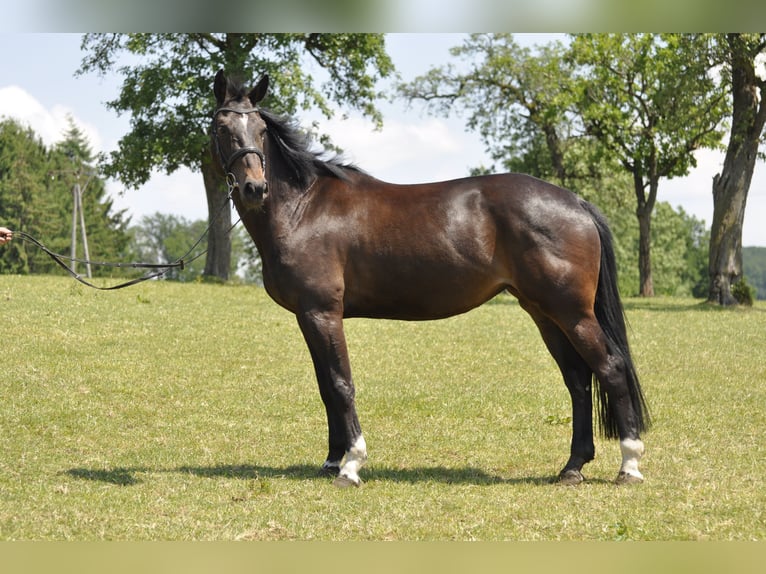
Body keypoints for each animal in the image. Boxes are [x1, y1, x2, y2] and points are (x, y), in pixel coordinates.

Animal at [211, 70, 650, 487]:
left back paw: (629, 465)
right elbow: (326, 387)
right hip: (544, 312)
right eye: (221, 127)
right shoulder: (308, 315)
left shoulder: (322, 312)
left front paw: (351, 465)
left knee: (610, 369)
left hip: (572, 312)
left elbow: (340, 383)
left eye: (261, 130)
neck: (304, 208)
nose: (254, 188)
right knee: (578, 380)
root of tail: (576, 202)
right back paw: (573, 466)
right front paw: (332, 460)